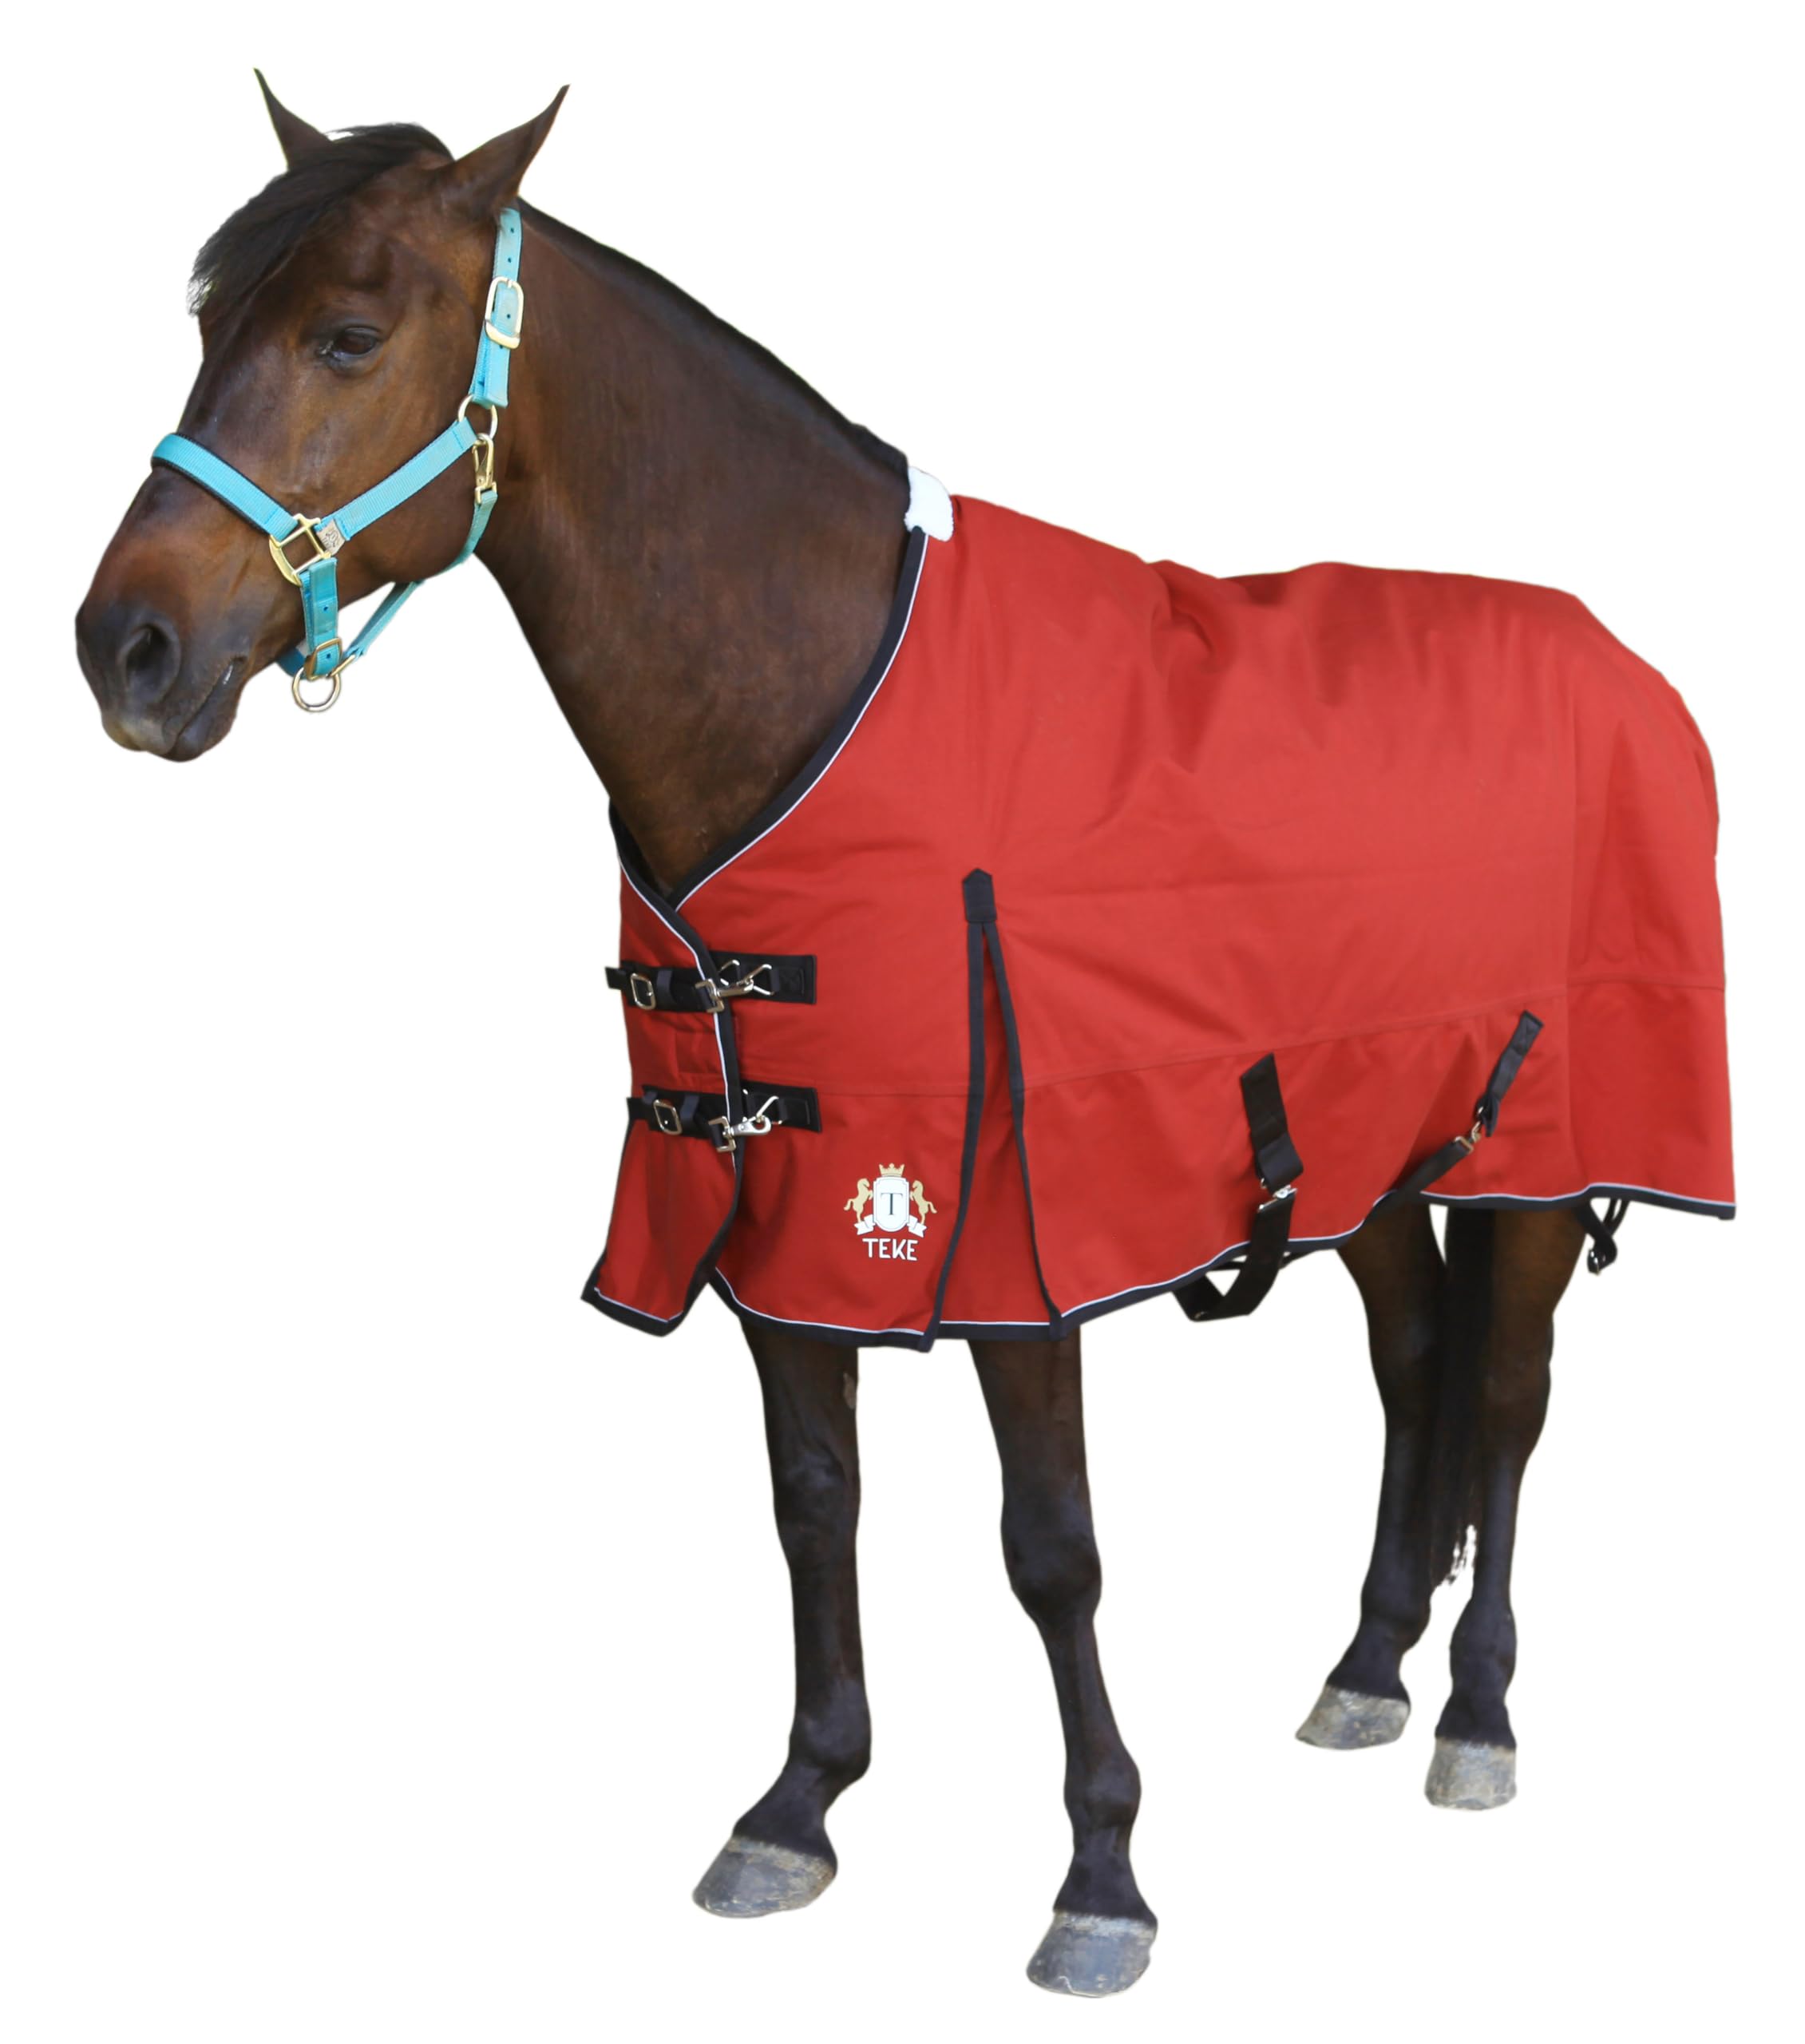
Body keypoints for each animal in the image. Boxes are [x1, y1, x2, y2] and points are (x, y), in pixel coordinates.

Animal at [75, 81, 1732, 1999]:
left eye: (344, 337)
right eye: (207, 328)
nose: (123, 648)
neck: (802, 701)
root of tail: (1624, 665)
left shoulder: (1008, 1234)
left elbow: (1051, 1553)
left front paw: (1102, 1874)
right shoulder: (776, 1213)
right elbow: (814, 1501)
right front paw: (797, 1805)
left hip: (1539, 1148)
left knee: (1508, 1399)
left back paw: (1473, 1711)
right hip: (1371, 1146)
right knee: (1411, 1368)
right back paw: (1366, 1668)